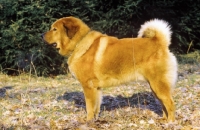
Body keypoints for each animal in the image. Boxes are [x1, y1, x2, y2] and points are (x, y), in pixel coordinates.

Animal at [41, 16, 177, 122]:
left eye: (54, 29)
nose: (41, 35)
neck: (79, 43)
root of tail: (159, 42)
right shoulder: (96, 88)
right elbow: (96, 107)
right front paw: (94, 121)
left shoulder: (88, 86)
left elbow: (89, 107)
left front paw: (88, 122)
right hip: (155, 86)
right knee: (164, 104)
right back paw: (164, 120)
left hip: (158, 85)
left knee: (170, 103)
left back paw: (170, 122)